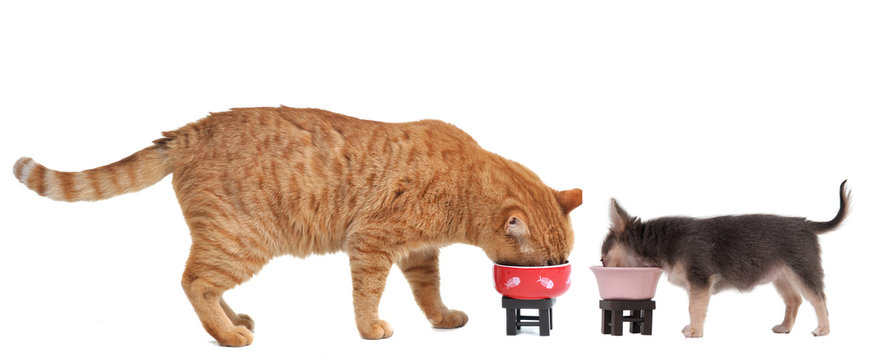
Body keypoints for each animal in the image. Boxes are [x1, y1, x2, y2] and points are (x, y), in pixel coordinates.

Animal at [11, 107, 584, 346]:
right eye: (548, 263)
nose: (558, 278)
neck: (465, 182)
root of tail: (191, 130)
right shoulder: (372, 243)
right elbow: (367, 294)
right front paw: (370, 330)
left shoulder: (419, 253)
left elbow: (429, 292)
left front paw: (441, 318)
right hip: (242, 242)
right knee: (193, 282)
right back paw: (227, 336)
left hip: (230, 244)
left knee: (203, 284)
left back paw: (234, 320)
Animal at [604, 180, 848, 338]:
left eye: (603, 258)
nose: (601, 264)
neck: (658, 241)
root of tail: (806, 224)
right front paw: (693, 328)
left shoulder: (700, 281)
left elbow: (694, 307)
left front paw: (695, 331)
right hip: (782, 276)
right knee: (794, 300)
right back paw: (785, 327)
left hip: (802, 271)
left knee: (818, 298)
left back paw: (823, 329)